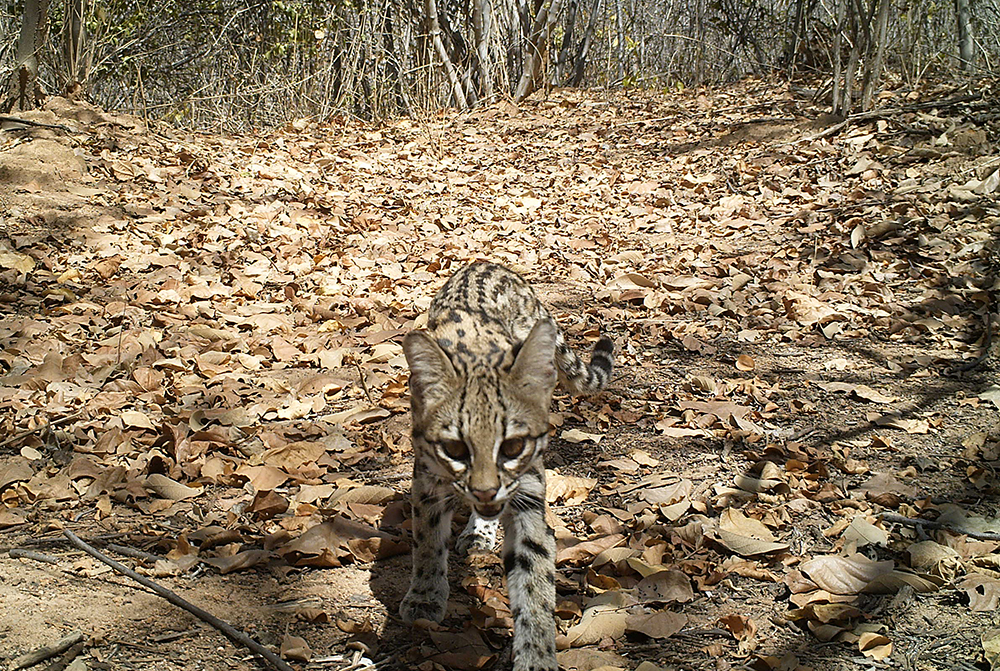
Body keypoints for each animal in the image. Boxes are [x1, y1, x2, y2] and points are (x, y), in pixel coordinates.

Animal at [398, 262, 608, 671]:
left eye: (513, 445)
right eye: (455, 448)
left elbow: (535, 582)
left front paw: (537, 655)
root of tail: (486, 263)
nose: (485, 490)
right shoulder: (428, 478)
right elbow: (427, 539)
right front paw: (425, 595)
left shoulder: (528, 495)